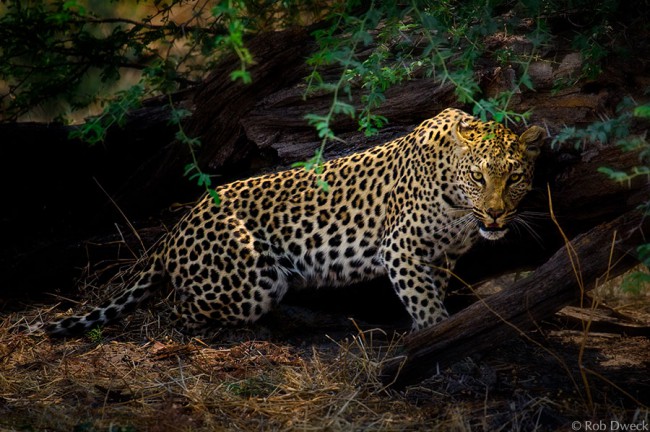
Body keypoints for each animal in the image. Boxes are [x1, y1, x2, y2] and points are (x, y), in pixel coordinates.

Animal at [45, 108, 544, 336]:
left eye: (515, 178)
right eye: (479, 177)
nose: (496, 213)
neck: (459, 206)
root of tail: (174, 232)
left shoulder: (443, 256)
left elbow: (432, 291)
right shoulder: (401, 247)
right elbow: (423, 302)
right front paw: (430, 335)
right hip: (249, 283)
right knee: (175, 309)